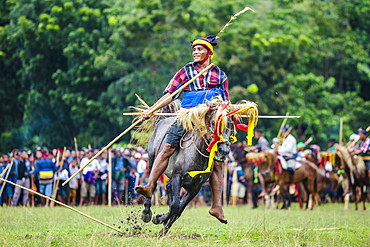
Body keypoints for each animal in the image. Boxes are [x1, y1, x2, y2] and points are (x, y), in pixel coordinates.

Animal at [140, 100, 256, 235]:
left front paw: (163, 224)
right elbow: (175, 206)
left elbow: (178, 209)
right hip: (151, 159)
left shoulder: (196, 186)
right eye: (213, 123)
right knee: (152, 182)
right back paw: (146, 212)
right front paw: (159, 218)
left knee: (168, 188)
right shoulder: (177, 177)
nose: (224, 150)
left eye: (231, 125)